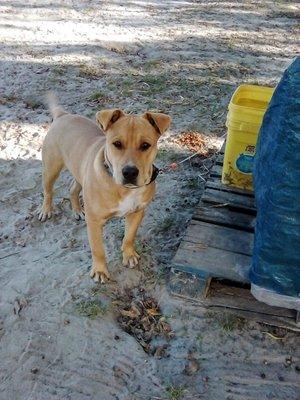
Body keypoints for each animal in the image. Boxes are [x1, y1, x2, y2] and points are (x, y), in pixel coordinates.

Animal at [38, 94, 171, 282]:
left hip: (79, 171)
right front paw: (100, 271)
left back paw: (77, 210)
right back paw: (46, 210)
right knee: (48, 191)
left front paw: (129, 255)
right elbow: (98, 249)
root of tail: (64, 115)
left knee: (73, 188)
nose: (129, 172)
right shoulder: (94, 222)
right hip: (51, 168)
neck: (124, 189)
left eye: (145, 145)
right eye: (117, 144)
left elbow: (129, 236)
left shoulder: (137, 212)